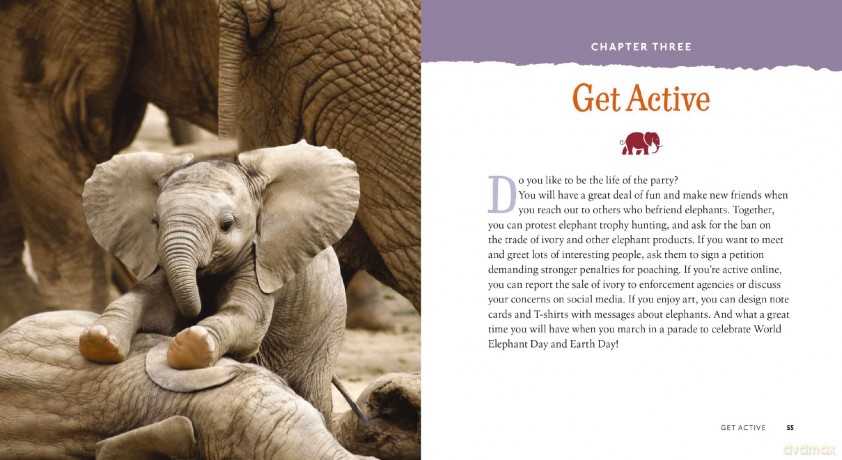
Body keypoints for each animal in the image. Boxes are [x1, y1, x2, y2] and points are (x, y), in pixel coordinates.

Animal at [78, 142, 358, 423]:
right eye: (155, 223)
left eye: (226, 225)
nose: (196, 314)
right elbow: (151, 301)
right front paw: (98, 339)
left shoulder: (261, 262)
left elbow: (247, 318)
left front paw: (191, 344)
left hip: (327, 330)